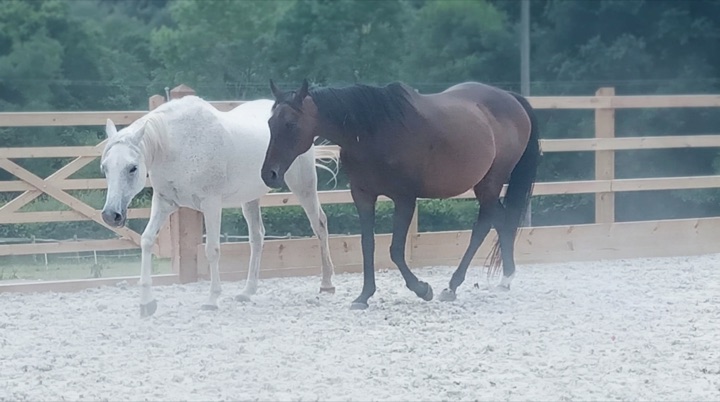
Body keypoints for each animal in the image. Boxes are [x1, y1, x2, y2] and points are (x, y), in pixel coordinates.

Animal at [100, 95, 336, 317]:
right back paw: (247, 291)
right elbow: (147, 240)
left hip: (303, 185)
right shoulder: (165, 202)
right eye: (105, 167)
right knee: (257, 237)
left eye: (132, 168)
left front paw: (212, 300)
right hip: (250, 197)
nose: (111, 215)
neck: (178, 144)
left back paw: (327, 284)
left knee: (319, 224)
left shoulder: (211, 203)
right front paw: (146, 303)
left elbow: (212, 249)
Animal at [261, 79, 540, 310]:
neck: (372, 131)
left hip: (490, 183)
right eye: (270, 123)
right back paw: (505, 279)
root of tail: (511, 98)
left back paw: (452, 286)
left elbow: (395, 250)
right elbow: (368, 244)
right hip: (484, 186)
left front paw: (422, 289)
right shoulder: (363, 196)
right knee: (502, 220)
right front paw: (364, 296)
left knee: (482, 227)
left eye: (291, 124)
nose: (269, 174)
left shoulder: (404, 199)